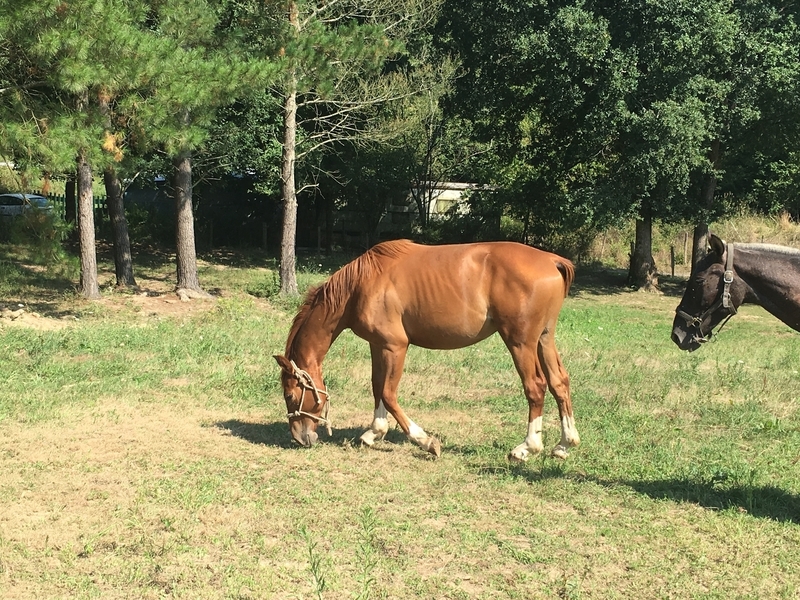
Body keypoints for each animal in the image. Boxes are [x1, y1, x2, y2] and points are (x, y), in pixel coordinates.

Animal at [273, 239, 581, 462]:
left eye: (290, 395)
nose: (300, 438)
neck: (360, 286)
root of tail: (551, 260)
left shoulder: (395, 346)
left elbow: (388, 392)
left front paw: (425, 441)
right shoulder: (378, 345)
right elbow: (377, 387)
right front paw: (374, 432)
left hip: (520, 342)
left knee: (536, 386)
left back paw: (527, 447)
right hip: (543, 339)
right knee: (559, 382)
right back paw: (564, 444)